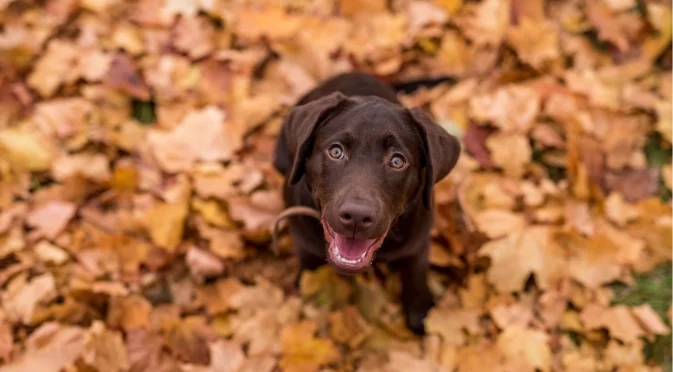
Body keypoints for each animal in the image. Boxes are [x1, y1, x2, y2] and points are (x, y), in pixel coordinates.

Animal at [270, 70, 460, 334]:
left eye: (397, 161)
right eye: (336, 151)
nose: (357, 217)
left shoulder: (418, 242)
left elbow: (415, 274)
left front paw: (420, 313)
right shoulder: (304, 239)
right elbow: (309, 267)